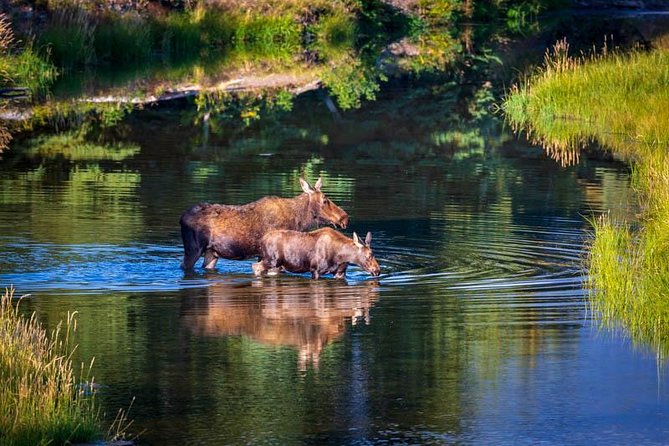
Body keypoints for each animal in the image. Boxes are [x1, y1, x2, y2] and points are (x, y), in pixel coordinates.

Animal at [180, 179, 348, 270]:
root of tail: (181, 218)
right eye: (325, 200)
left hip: (212, 253)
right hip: (193, 249)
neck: (299, 221)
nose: (345, 217)